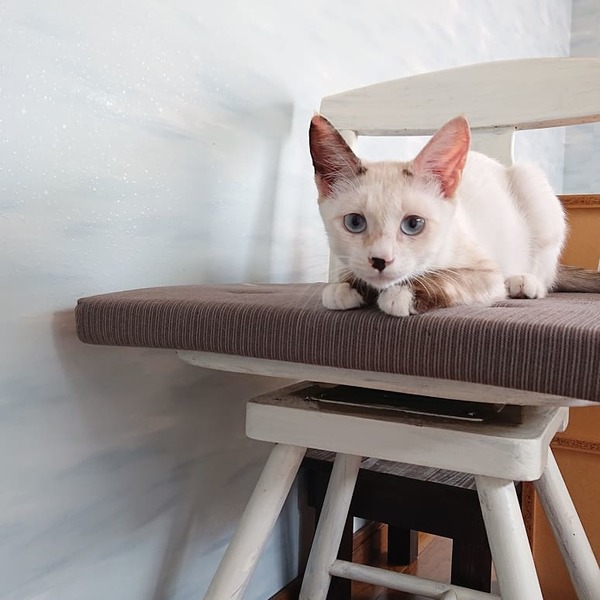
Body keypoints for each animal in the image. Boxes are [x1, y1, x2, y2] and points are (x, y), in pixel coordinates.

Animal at [309, 114, 600, 317]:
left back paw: (524, 282)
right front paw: (345, 287)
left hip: (533, 187)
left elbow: (450, 278)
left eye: (413, 224)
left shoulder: (486, 273)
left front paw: (403, 294)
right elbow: (346, 277)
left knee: (545, 272)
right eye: (355, 222)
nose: (380, 260)